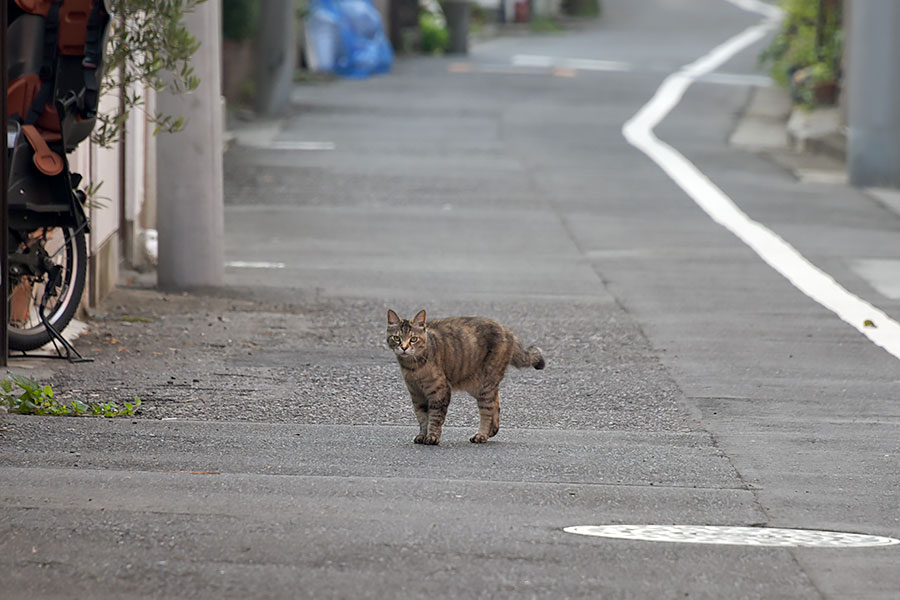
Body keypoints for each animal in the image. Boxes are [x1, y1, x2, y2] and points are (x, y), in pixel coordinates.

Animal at [384, 310, 544, 446]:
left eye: (413, 339)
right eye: (397, 338)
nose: (404, 347)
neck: (413, 367)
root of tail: (507, 330)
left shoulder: (440, 391)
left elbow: (435, 417)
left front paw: (432, 437)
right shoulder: (417, 395)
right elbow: (422, 417)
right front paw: (422, 435)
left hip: (485, 384)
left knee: (487, 410)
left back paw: (482, 435)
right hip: (477, 385)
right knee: (496, 401)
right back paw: (492, 430)